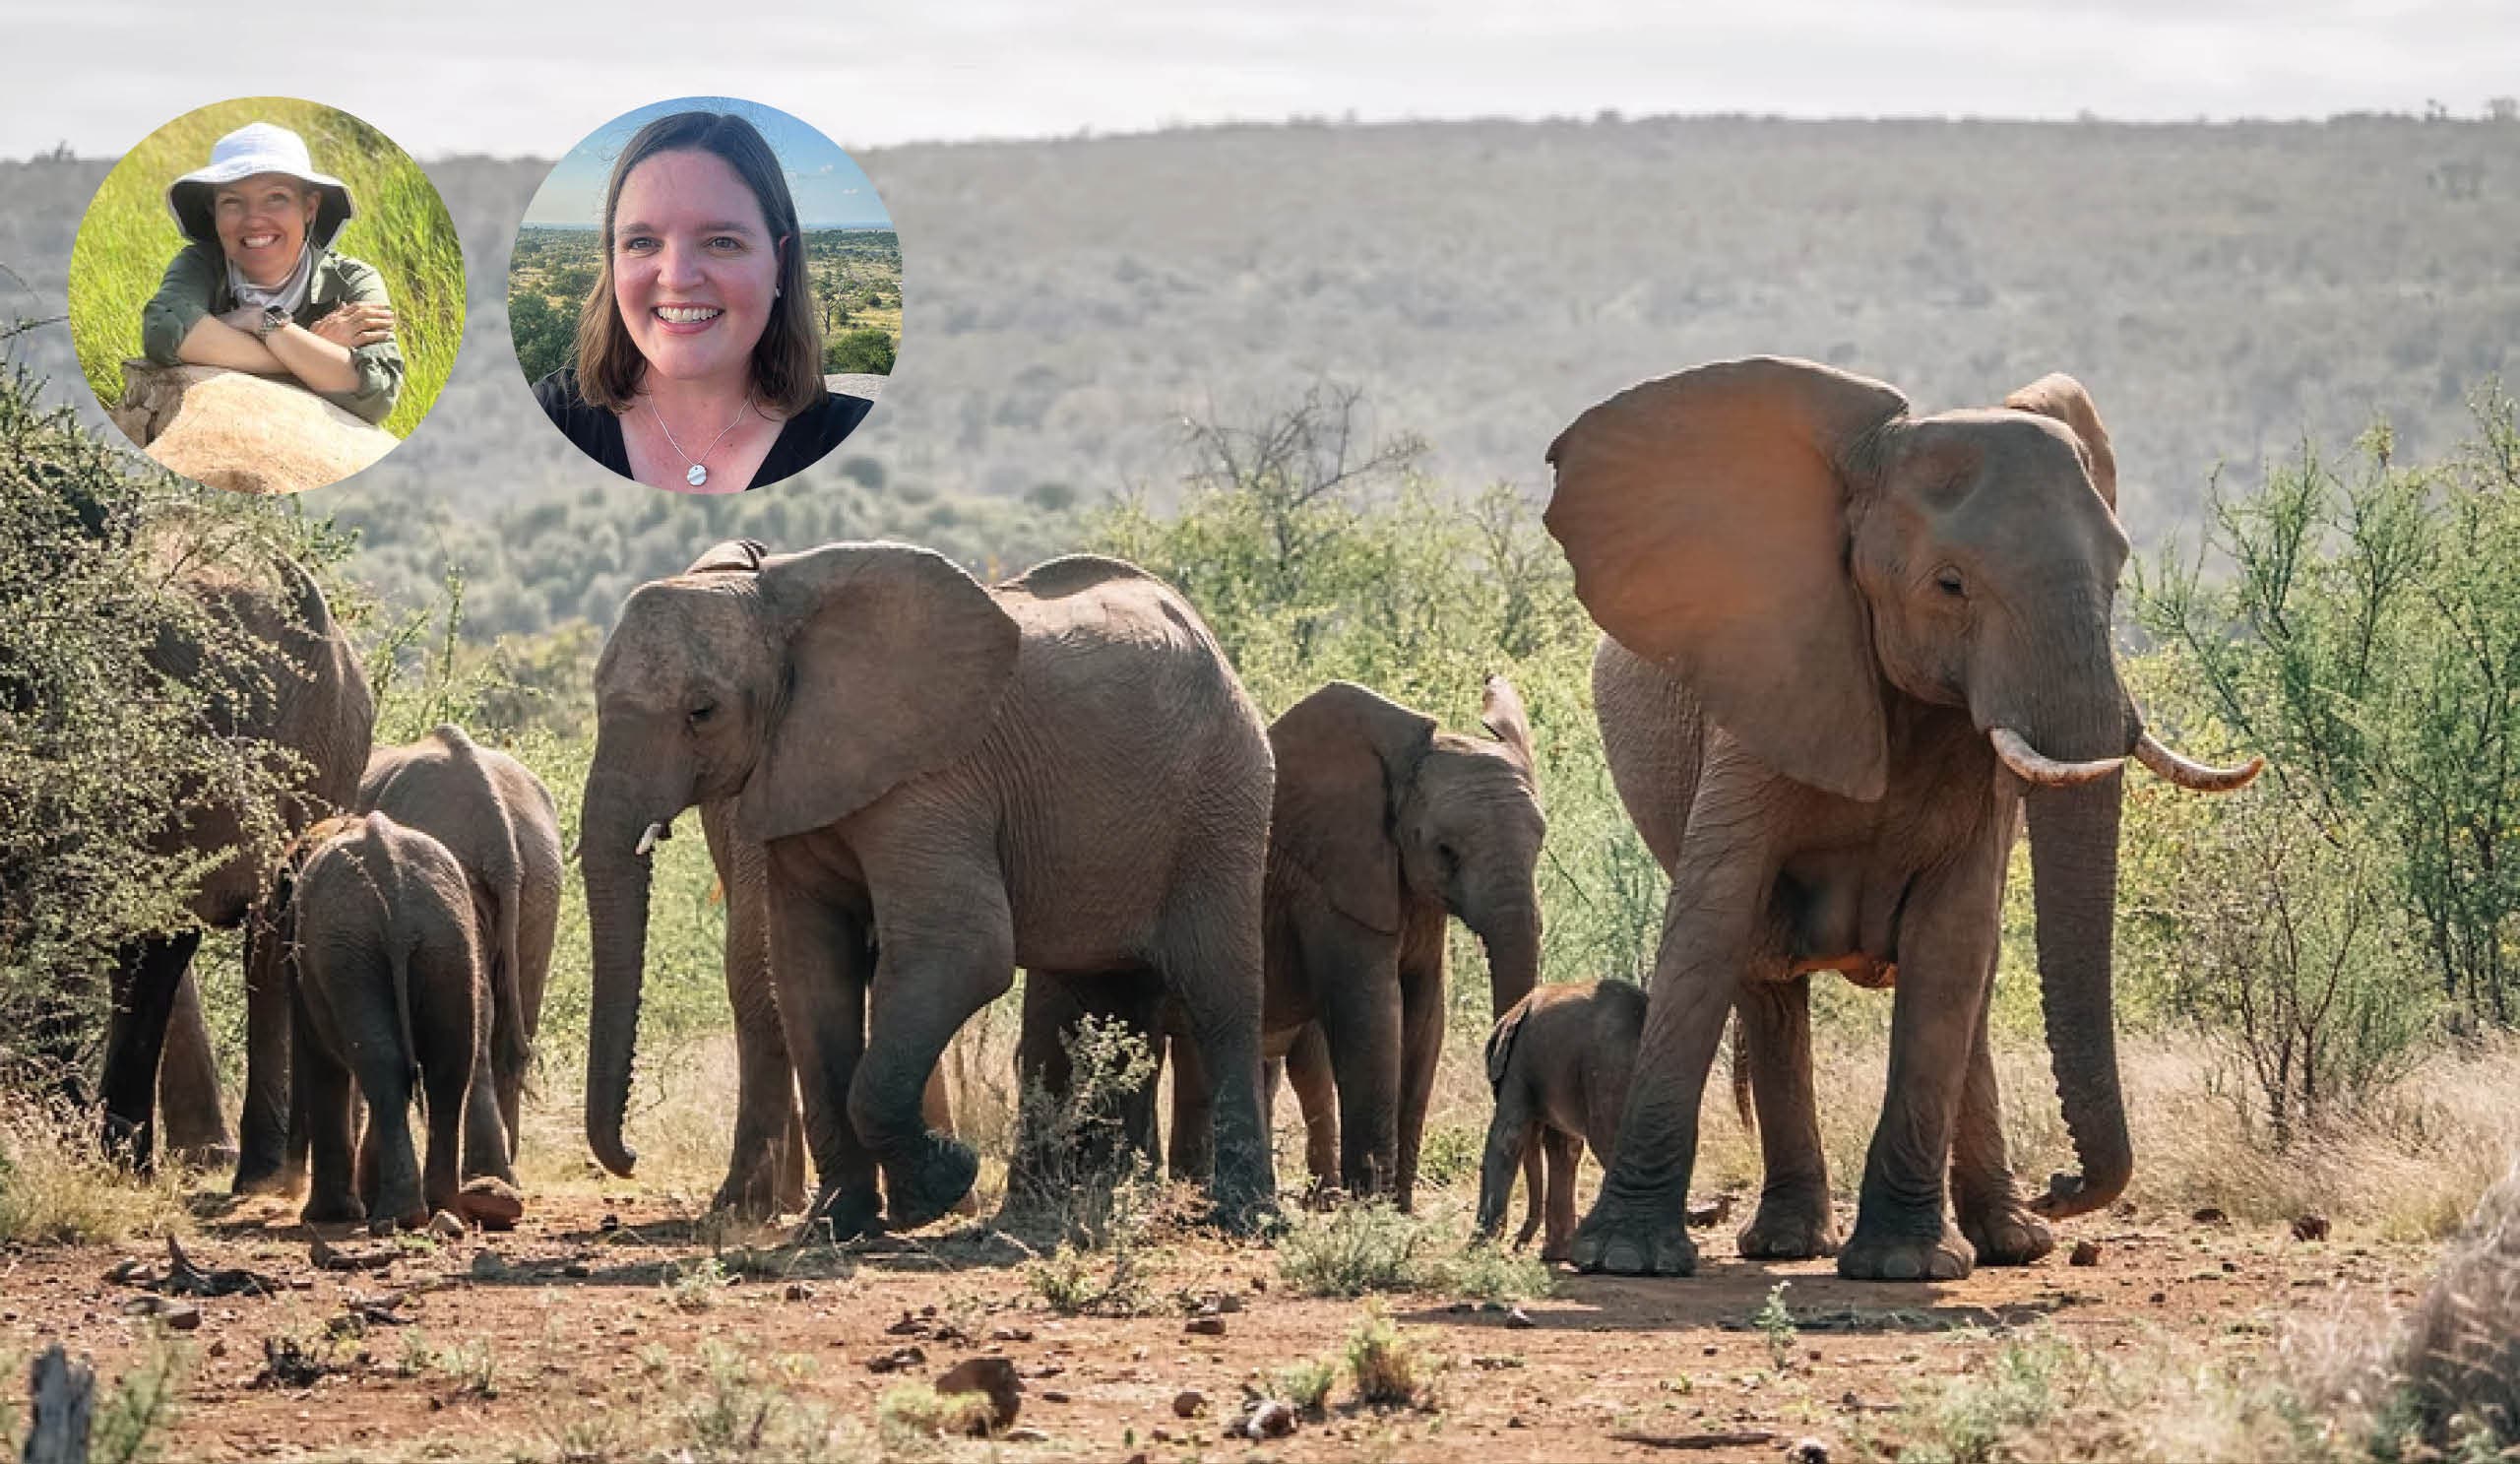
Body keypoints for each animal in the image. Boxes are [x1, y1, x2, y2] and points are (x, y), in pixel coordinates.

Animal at [283, 812, 517, 1233]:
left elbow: (321, 1059)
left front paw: (329, 1216)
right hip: (447, 942)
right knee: (446, 1068)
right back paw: (437, 1210)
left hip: (349, 954)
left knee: (381, 1066)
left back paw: (398, 1216)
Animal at [580, 539, 1278, 1237]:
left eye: (702, 712)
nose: (631, 1157)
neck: (778, 603)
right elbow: (807, 969)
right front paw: (840, 1224)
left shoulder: (932, 779)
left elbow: (966, 949)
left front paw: (941, 1184)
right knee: (1097, 993)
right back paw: (1081, 1207)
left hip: (1223, 800)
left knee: (1219, 997)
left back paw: (1242, 1216)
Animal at [1017, 675, 1546, 1212]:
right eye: (1445, 849)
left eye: (1541, 842)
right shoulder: (1327, 888)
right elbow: (1371, 1015)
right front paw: (1371, 1209)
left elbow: (1424, 1019)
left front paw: (1398, 1209)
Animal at [1476, 978, 1646, 1262]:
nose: (1517, 1246)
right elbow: (1564, 1148)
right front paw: (1555, 1255)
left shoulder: (1519, 1065)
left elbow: (1507, 1137)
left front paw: (1475, 1249)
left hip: (1608, 1072)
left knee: (1609, 1143)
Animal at [1542, 356, 2261, 1280]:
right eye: (1950, 586)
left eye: (2119, 576)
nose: (2063, 1182)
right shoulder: (1767, 684)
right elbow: (1710, 922)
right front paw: (1624, 1258)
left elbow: (1952, 944)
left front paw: (1905, 1265)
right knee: (1767, 978)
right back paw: (1790, 1241)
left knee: (1968, 984)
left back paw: (2010, 1241)